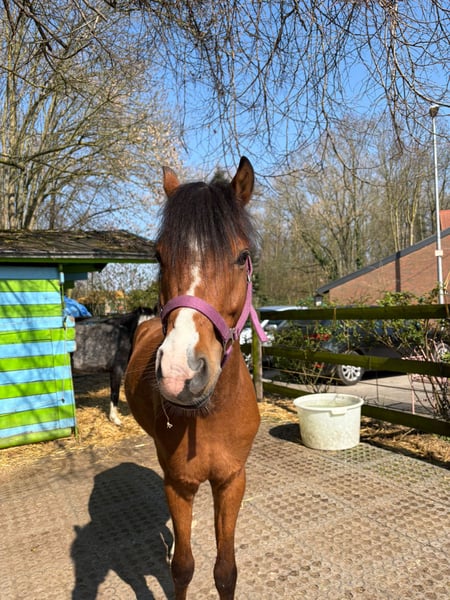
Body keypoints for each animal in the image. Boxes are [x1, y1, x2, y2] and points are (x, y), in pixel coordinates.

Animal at [124, 157, 267, 599]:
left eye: (242, 256)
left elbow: (225, 571)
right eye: (159, 257)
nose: (179, 372)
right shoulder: (180, 485)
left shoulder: (231, 481)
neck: (209, 415)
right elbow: (183, 567)